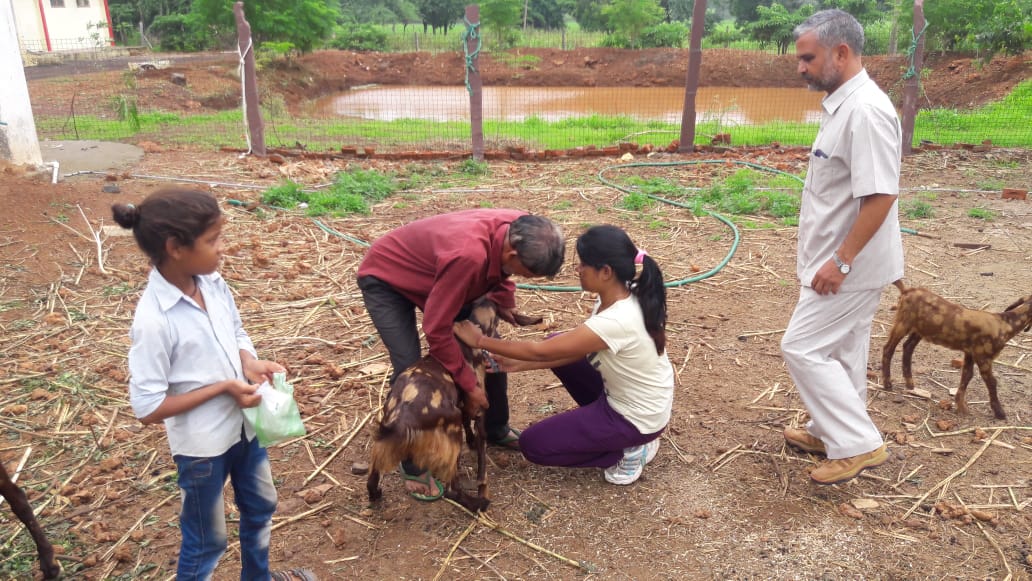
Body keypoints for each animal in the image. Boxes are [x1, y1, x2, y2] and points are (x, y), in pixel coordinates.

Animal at [881, 280, 1032, 419]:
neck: (1004, 324)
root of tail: (906, 290)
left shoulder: (970, 353)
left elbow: (967, 375)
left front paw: (961, 407)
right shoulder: (983, 356)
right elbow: (992, 382)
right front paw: (1000, 413)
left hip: (920, 329)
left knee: (907, 347)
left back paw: (910, 384)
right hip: (903, 322)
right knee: (888, 349)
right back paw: (887, 384)